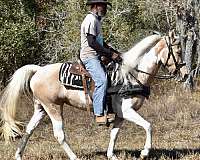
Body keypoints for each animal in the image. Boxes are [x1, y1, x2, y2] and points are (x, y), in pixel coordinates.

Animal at [0, 32, 184, 160]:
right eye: (178, 50)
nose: (185, 73)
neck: (130, 75)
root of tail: (38, 70)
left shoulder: (120, 114)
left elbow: (114, 133)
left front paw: (111, 155)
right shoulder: (127, 111)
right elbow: (148, 125)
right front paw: (145, 152)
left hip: (41, 108)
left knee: (29, 130)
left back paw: (18, 155)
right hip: (54, 108)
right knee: (59, 135)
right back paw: (74, 157)